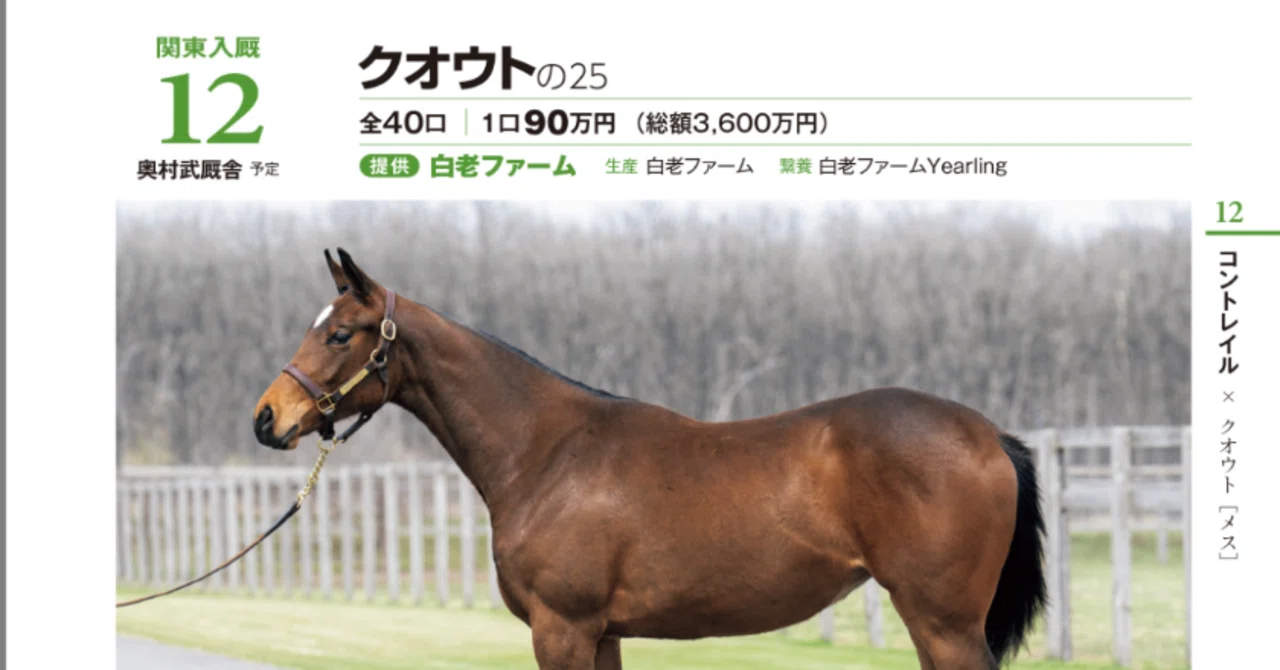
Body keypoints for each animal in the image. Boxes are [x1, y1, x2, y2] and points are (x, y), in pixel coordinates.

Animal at [253, 248, 1046, 670]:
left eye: (341, 334)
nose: (267, 419)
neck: (546, 454)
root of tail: (988, 435)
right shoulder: (601, 633)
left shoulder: (562, 629)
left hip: (944, 624)